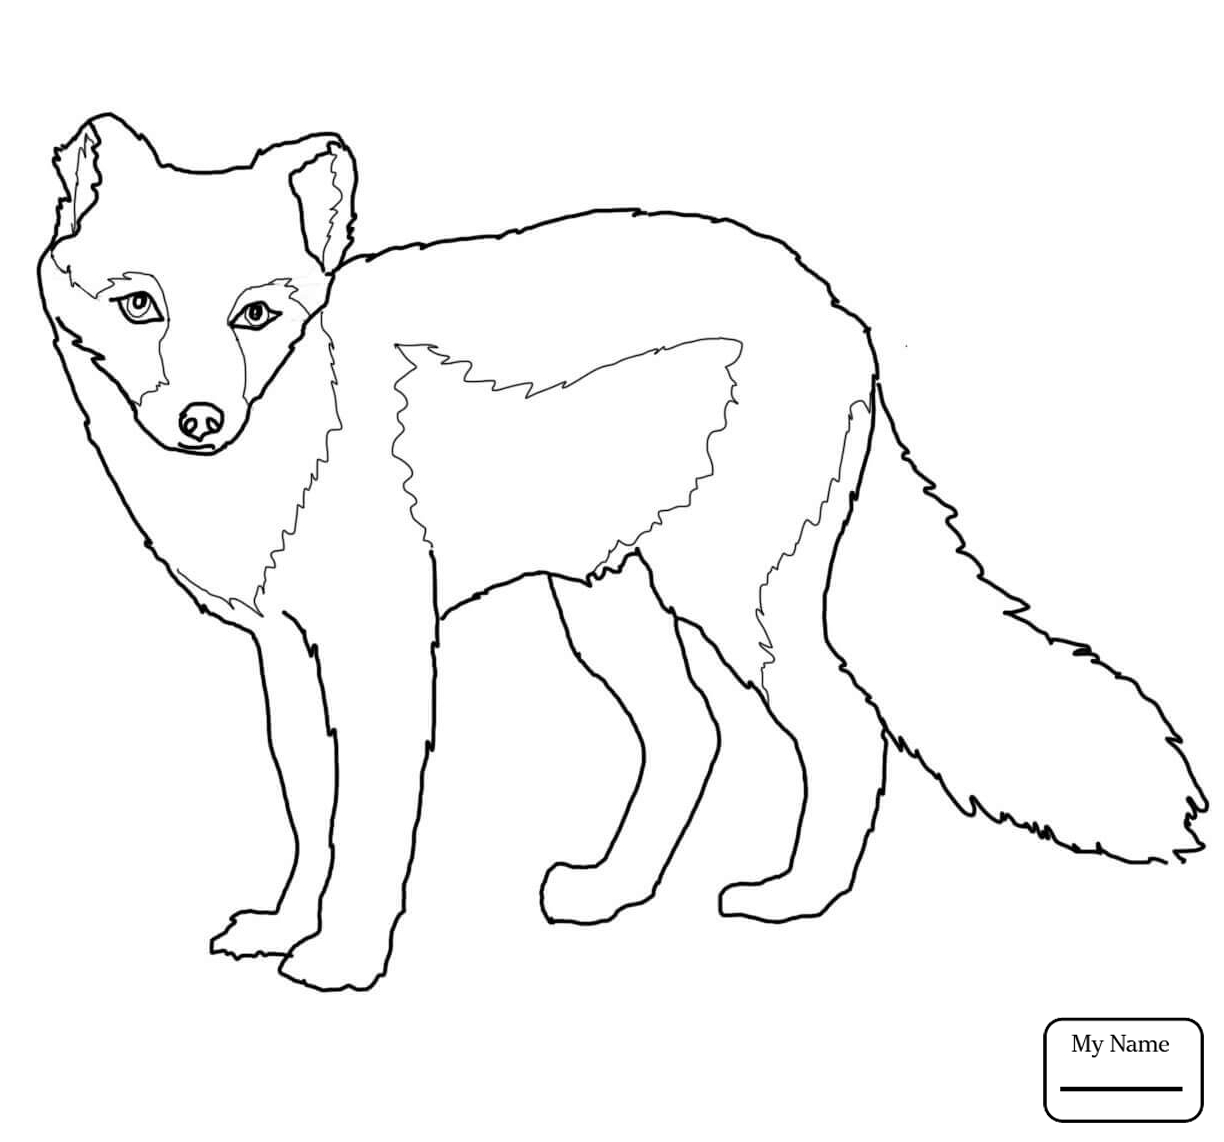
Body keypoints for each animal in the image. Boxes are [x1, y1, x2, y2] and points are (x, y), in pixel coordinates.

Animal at [39, 113, 1207, 991]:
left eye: (255, 313)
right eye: (139, 304)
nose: (198, 421)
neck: (289, 438)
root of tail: (832, 303)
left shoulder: (386, 650)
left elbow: (371, 826)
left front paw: (345, 958)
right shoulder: (285, 650)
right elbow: (308, 807)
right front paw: (288, 925)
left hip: (735, 605)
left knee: (847, 729)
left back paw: (795, 899)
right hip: (606, 605)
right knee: (694, 734)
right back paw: (611, 892)